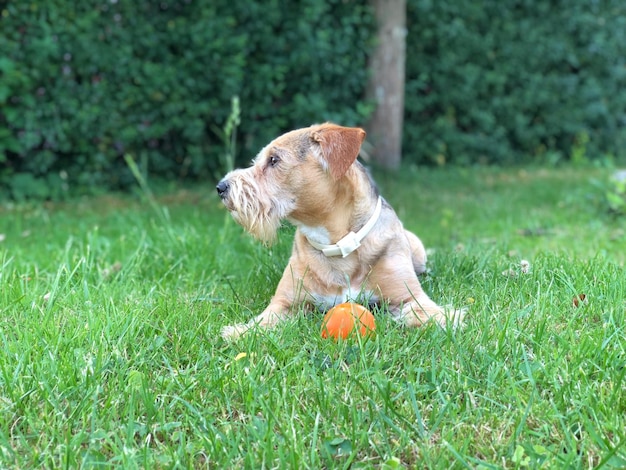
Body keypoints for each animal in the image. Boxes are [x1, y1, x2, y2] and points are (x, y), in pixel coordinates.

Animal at [216, 123, 464, 340]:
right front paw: (240, 332)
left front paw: (447, 319)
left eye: (273, 160)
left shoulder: (408, 296)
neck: (337, 245)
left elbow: (425, 309)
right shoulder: (285, 303)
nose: (221, 187)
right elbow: (263, 320)